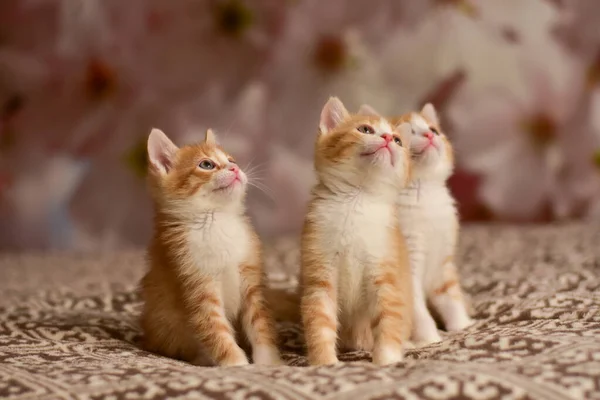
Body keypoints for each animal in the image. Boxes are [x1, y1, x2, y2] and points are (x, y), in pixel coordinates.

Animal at [140, 127, 282, 366]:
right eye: (206, 164)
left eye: (231, 160)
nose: (235, 168)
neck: (216, 219)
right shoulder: (195, 282)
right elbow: (215, 330)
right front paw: (238, 365)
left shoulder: (252, 279)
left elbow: (261, 323)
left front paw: (269, 362)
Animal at [300, 97, 412, 366]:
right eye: (365, 129)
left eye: (398, 141)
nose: (387, 138)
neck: (356, 199)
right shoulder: (319, 271)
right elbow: (319, 321)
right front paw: (325, 362)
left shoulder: (385, 271)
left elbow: (388, 318)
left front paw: (387, 360)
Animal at [358, 104, 476, 346]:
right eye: (409, 132)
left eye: (433, 129)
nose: (430, 135)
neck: (425, 193)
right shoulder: (407, 266)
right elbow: (418, 310)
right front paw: (430, 339)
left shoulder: (443, 262)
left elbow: (451, 297)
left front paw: (462, 325)